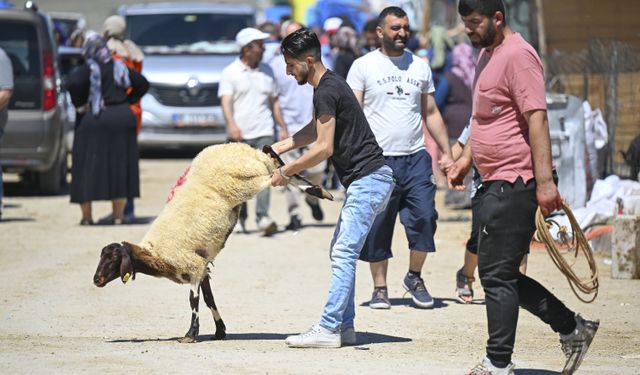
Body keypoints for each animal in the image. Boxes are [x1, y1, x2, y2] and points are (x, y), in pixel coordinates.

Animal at [92, 143, 278, 344]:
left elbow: (193, 300)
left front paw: (190, 334)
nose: (96, 280)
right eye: (101, 256)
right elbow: (209, 298)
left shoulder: (193, 266)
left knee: (275, 178)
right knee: (273, 160)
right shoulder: (203, 267)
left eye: (113, 258)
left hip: (246, 182)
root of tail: (244, 148)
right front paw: (219, 331)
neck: (155, 255)